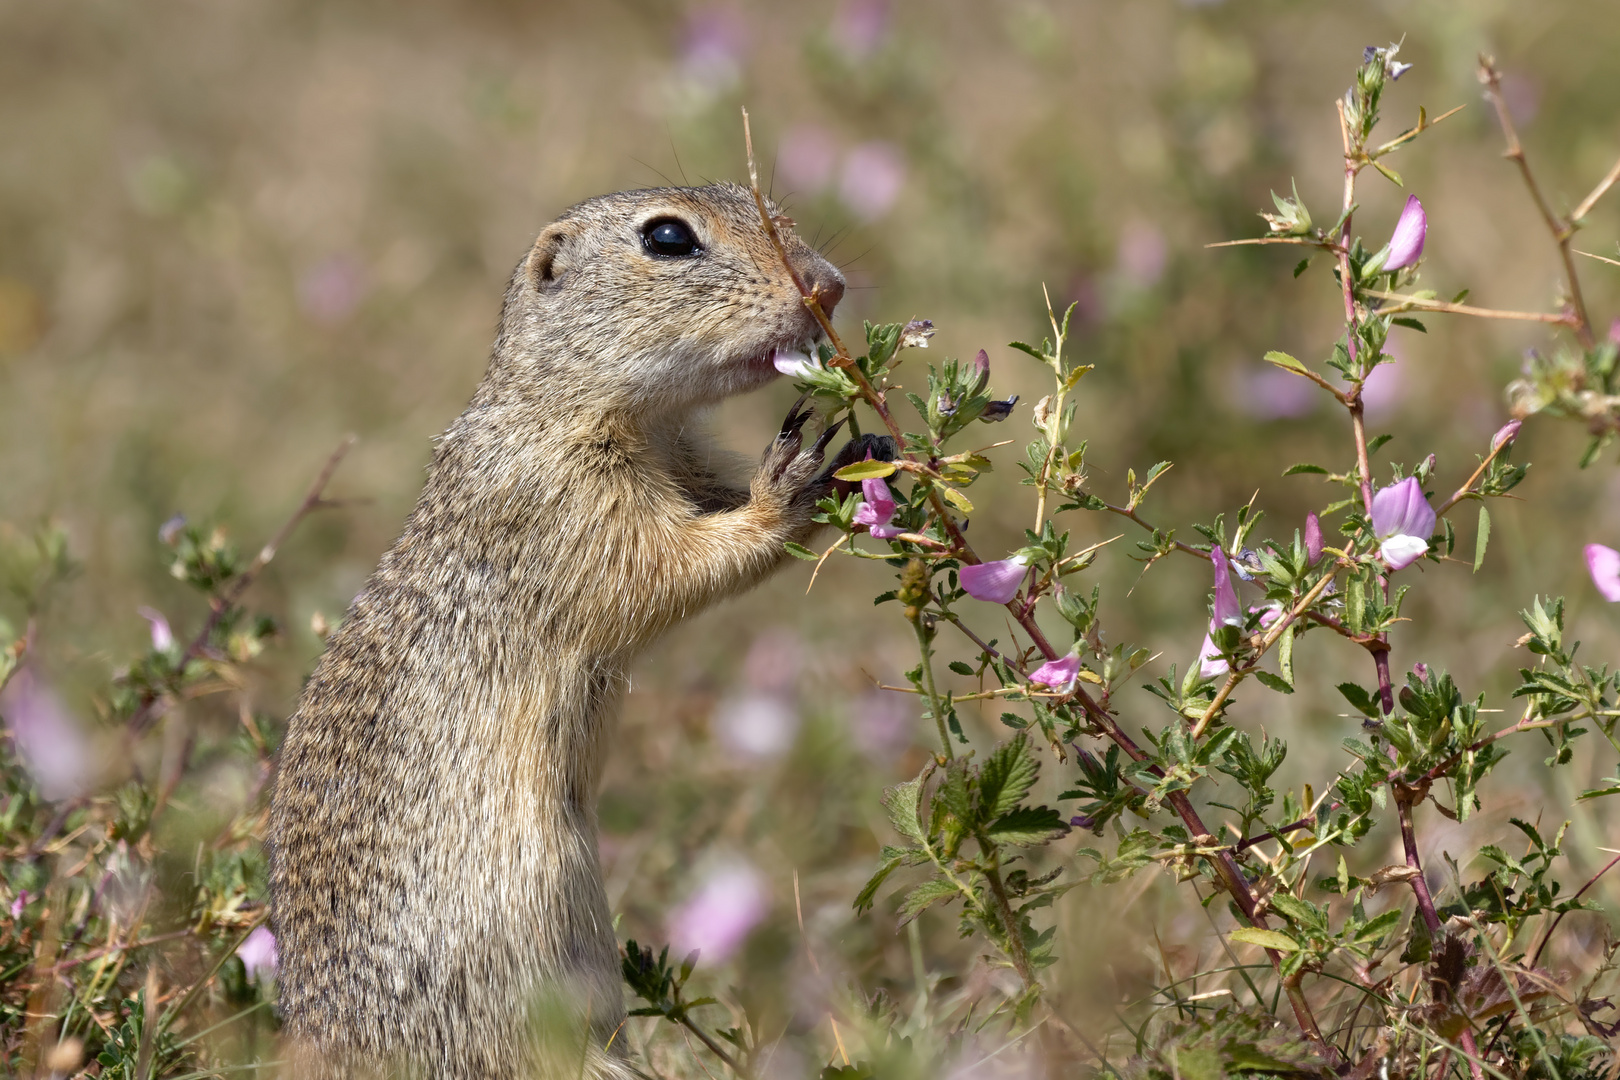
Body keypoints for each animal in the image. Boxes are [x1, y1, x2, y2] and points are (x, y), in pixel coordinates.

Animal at [268, 186, 874, 1080]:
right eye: (668, 237)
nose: (828, 286)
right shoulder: (564, 500)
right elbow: (663, 567)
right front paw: (787, 487)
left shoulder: (687, 465)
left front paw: (865, 456)